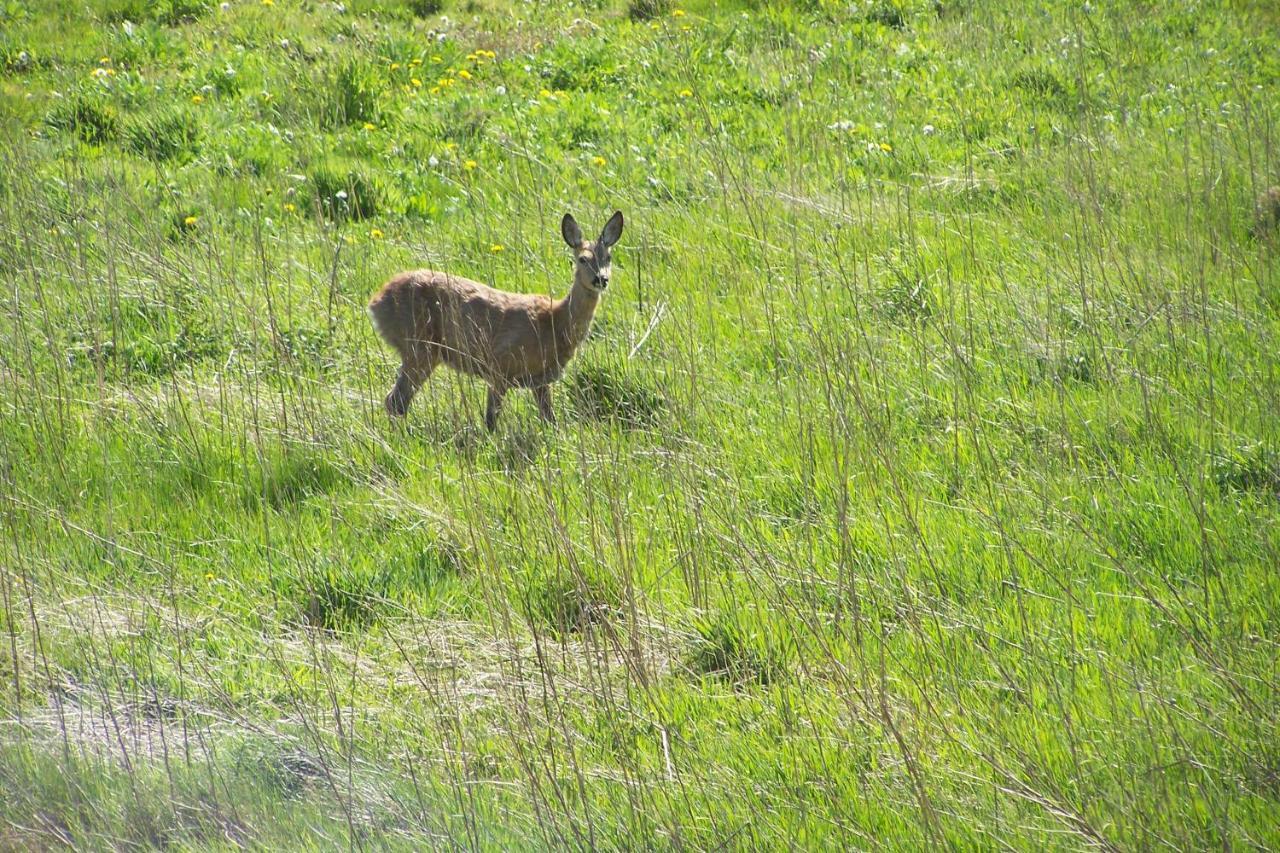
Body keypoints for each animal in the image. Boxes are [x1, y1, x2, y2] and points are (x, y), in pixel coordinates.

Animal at [366, 208, 624, 427]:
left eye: (608, 258)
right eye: (582, 259)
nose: (601, 279)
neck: (555, 323)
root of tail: (376, 302)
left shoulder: (541, 380)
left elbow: (550, 421)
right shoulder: (501, 365)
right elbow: (490, 420)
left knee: (396, 400)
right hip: (419, 345)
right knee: (395, 400)